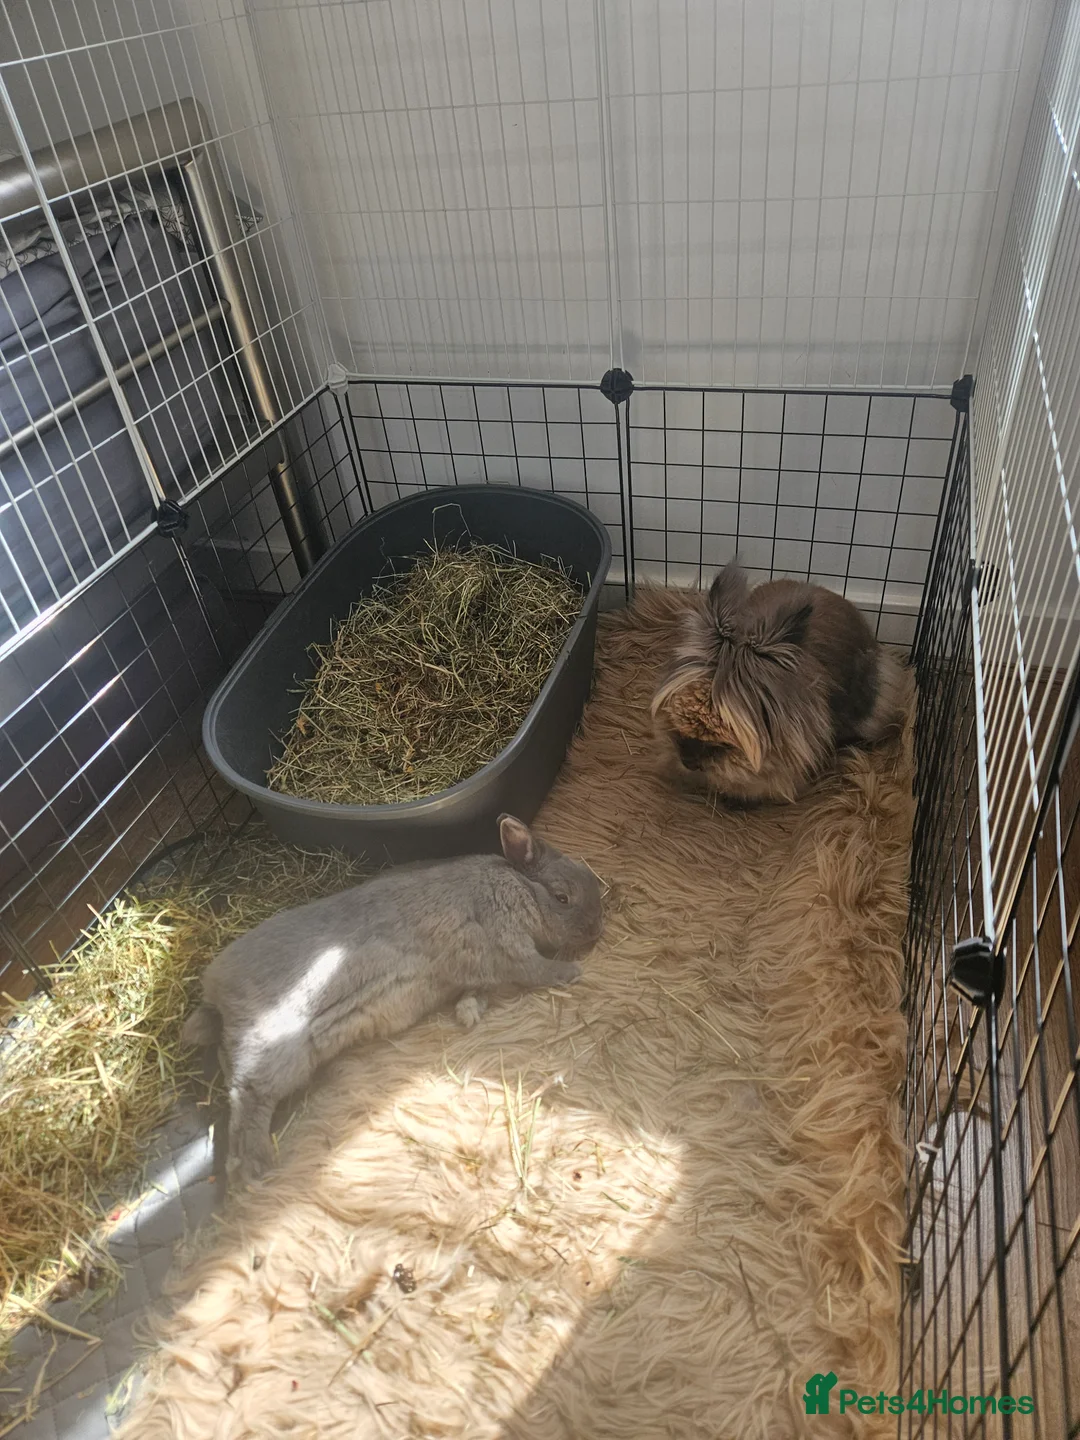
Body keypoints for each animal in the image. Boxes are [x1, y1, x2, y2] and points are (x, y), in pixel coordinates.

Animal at [182, 814, 603, 1186]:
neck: (520, 887)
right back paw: (254, 1169)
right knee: (248, 1096)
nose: (597, 930)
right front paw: (572, 972)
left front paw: (468, 1012)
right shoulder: (508, 948)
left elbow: (475, 990)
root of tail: (217, 992)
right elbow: (536, 970)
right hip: (276, 1049)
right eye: (563, 897)